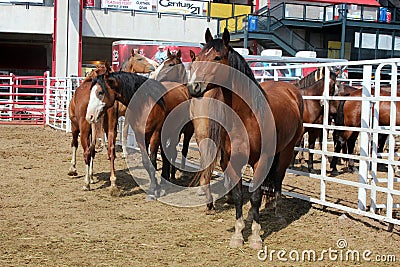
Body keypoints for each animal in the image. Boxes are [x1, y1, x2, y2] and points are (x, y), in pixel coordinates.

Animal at [188, 29, 304, 251]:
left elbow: (256, 195)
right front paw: (238, 233)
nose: (193, 87)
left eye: (217, 58)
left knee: (278, 179)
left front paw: (256, 237)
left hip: (286, 151)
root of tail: (291, 90)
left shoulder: (261, 160)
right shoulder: (231, 160)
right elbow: (240, 195)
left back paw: (277, 212)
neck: (246, 116)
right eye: (197, 58)